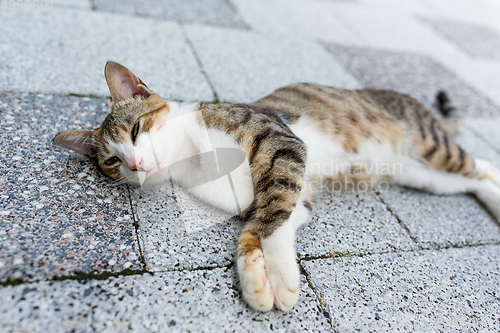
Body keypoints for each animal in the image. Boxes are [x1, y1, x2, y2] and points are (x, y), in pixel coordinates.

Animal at [52, 61, 500, 312]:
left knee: (478, 163)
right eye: (112, 161)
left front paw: (275, 276)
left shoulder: (281, 142)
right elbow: (267, 222)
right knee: (476, 176)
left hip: (429, 146)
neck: (191, 157)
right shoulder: (289, 195)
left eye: (136, 128)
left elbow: (272, 216)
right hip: (422, 175)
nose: (136, 164)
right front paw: (265, 278)